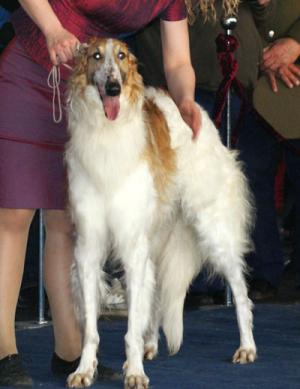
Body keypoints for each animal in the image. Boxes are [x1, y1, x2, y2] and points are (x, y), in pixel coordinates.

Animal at [64, 37, 256, 388]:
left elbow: (130, 330)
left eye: (121, 56)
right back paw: (150, 343)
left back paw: (247, 347)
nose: (113, 87)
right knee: (153, 296)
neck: (106, 134)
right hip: (155, 236)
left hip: (211, 228)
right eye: (96, 56)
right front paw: (84, 370)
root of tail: (195, 110)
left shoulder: (132, 243)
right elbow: (92, 329)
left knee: (239, 290)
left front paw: (135, 372)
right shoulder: (89, 246)